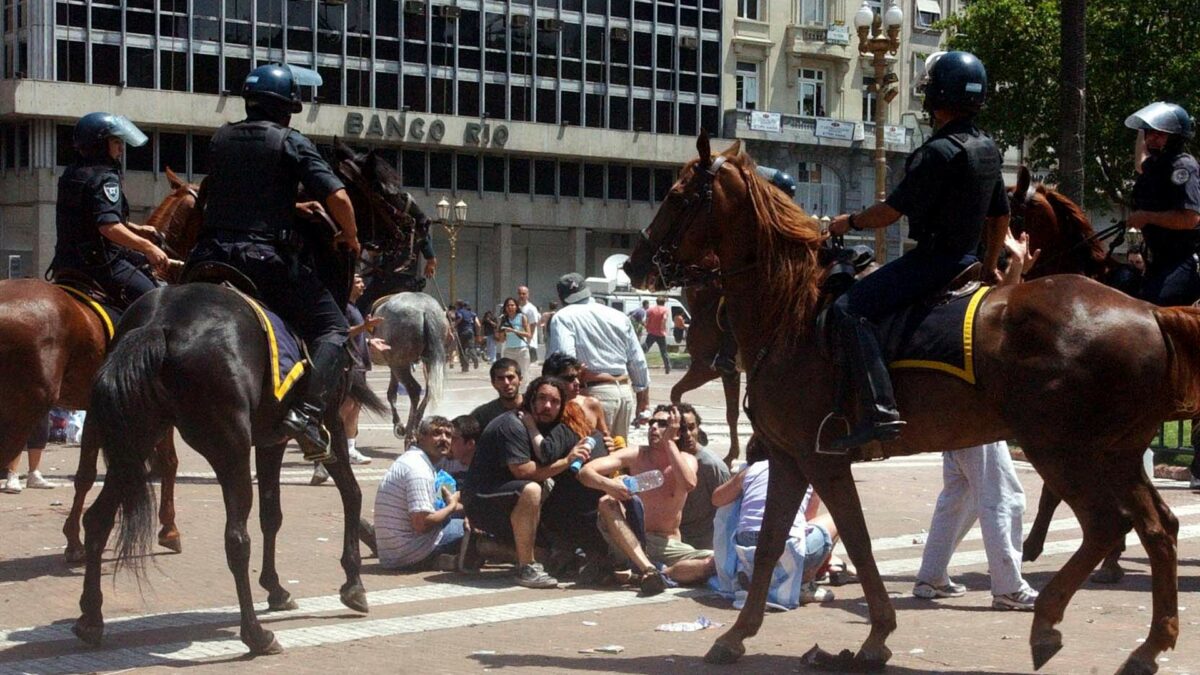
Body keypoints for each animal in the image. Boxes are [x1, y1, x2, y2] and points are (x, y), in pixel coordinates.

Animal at [369, 290, 451, 441]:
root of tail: (426, 310)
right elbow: (392, 392)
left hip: (400, 364)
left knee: (414, 390)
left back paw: (410, 432)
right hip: (425, 361)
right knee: (428, 389)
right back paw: (415, 425)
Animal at [628, 131, 1190, 672]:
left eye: (677, 196)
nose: (635, 264)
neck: (793, 312)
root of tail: (1147, 311)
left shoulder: (820, 459)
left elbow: (856, 540)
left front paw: (875, 635)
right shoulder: (789, 458)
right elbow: (767, 547)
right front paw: (738, 635)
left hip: (1064, 451)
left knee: (1106, 525)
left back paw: (1048, 622)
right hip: (1116, 454)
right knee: (1158, 527)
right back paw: (1148, 646)